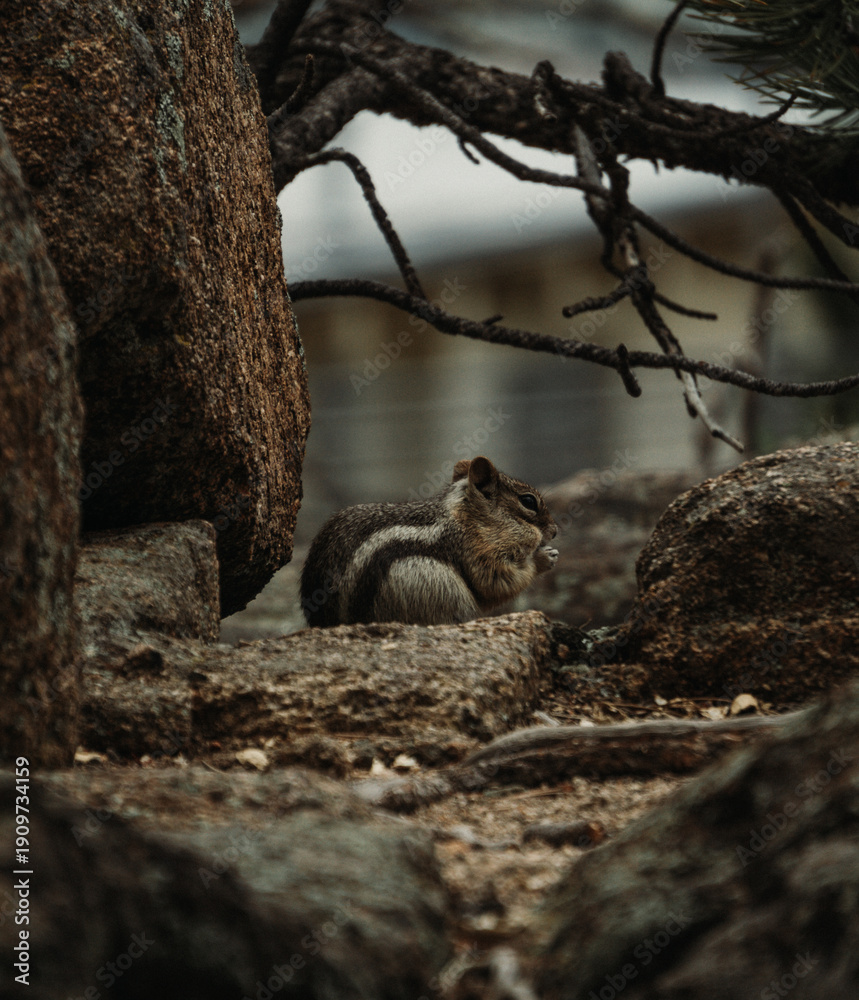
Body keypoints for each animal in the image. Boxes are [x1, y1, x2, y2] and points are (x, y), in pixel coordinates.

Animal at [300, 455, 558, 627]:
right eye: (528, 501)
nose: (555, 530)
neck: (468, 520)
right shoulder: (477, 553)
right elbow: (496, 583)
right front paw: (543, 558)